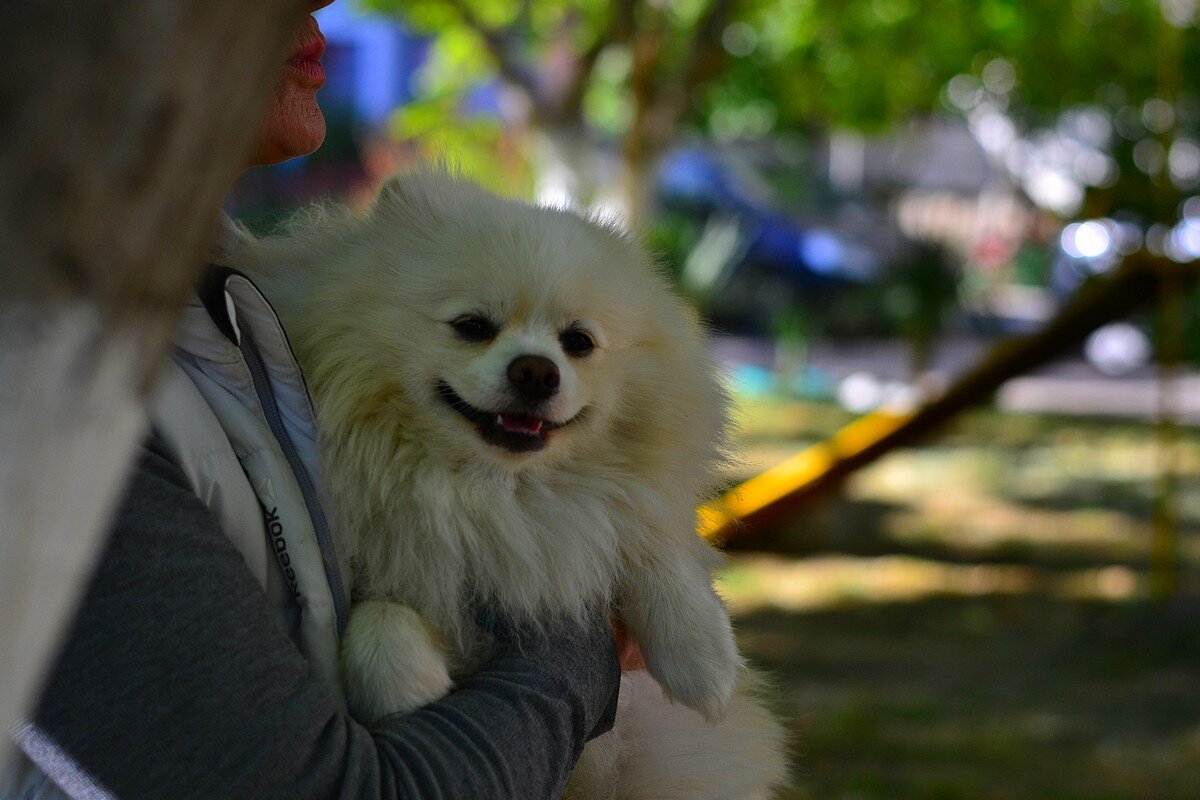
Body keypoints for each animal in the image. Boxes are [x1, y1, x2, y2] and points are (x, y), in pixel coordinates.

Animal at [238, 170, 792, 800]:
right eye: (472, 327)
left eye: (578, 342)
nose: (536, 371)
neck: (497, 491)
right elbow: (378, 618)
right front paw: (410, 690)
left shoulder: (617, 514)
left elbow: (651, 547)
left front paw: (703, 659)